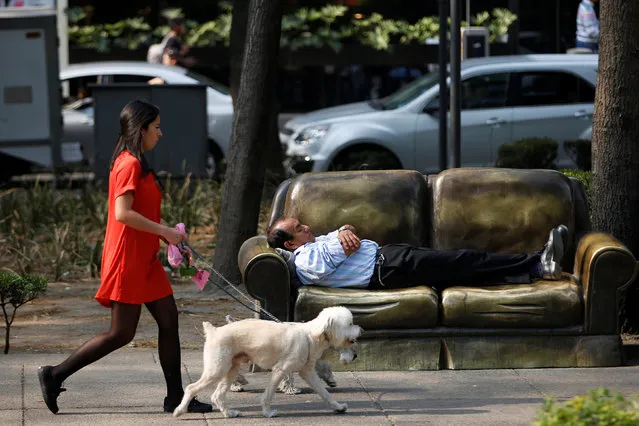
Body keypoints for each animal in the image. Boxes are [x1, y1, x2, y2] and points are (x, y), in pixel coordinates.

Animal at [172, 306, 362, 420]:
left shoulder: (308, 373)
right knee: (191, 388)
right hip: (217, 369)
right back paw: (179, 410)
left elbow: (325, 393)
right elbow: (268, 395)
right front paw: (268, 412)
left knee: (217, 396)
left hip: (231, 369)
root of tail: (214, 331)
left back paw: (229, 413)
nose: (360, 330)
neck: (311, 335)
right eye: (350, 323)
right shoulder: (280, 370)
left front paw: (338, 407)